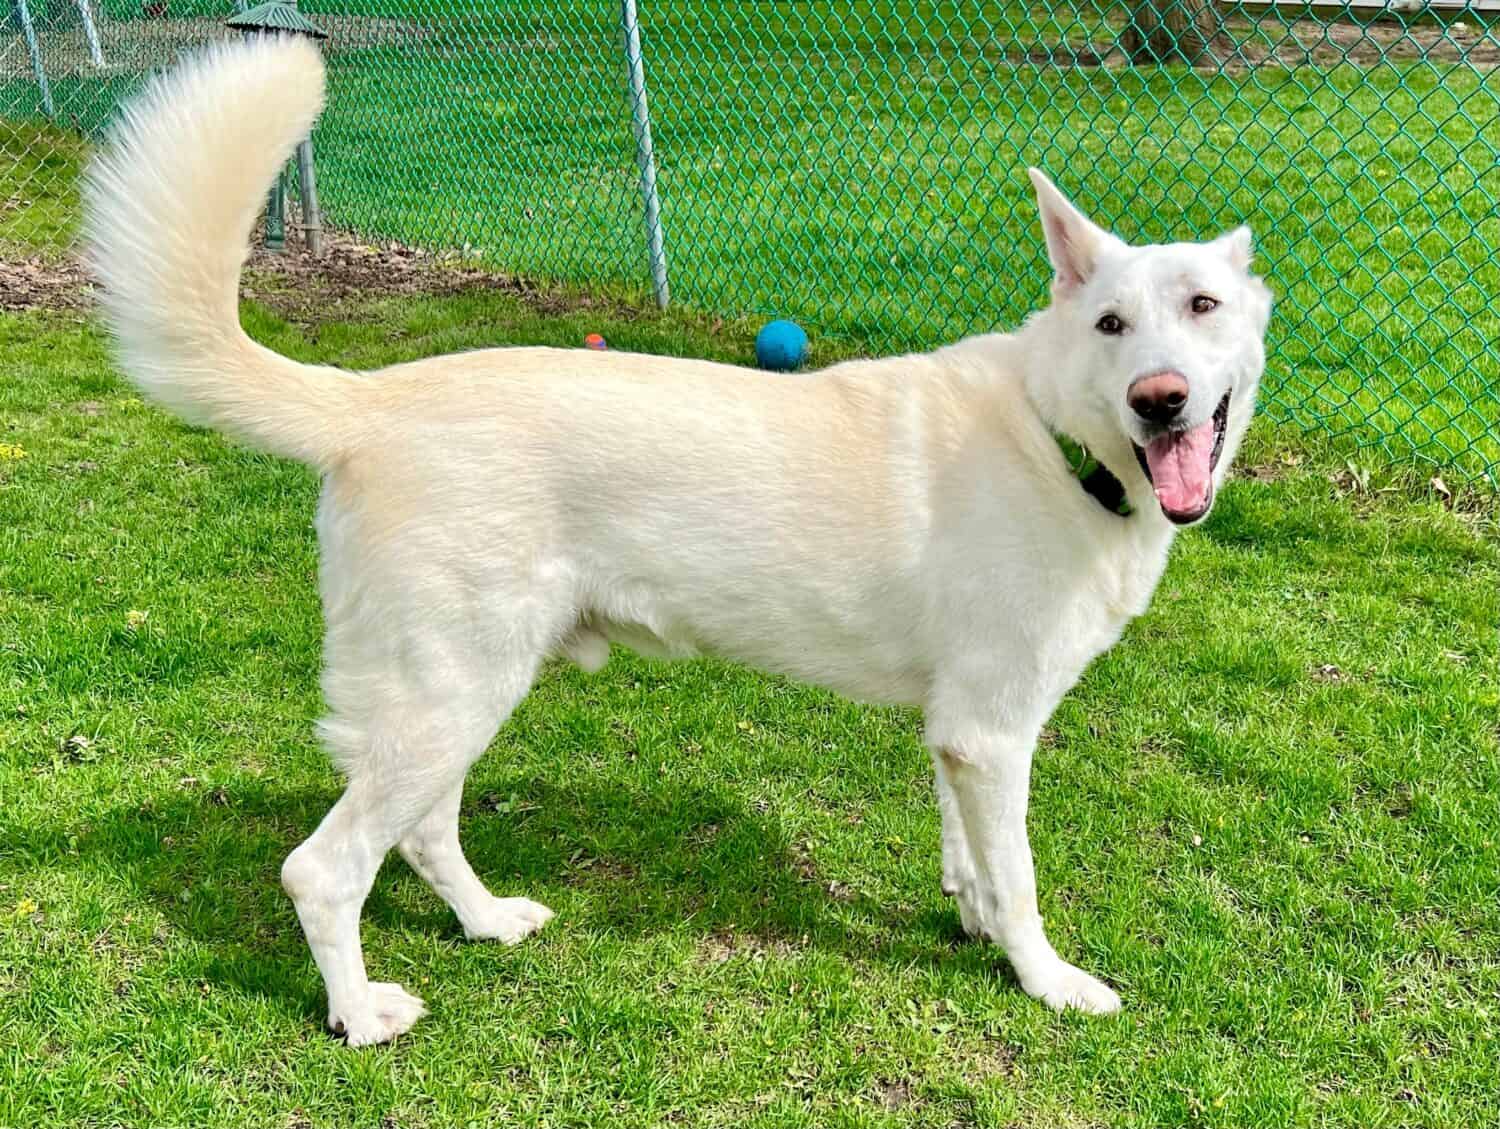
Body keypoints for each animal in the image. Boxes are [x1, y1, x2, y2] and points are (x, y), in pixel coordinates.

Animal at [87, 39, 1272, 1043]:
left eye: (1204, 307)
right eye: (1112, 325)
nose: (1163, 400)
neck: (1054, 433)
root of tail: (369, 399)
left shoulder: (961, 733)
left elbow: (971, 857)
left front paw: (972, 918)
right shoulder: (991, 731)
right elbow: (1019, 879)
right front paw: (1047, 980)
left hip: (457, 698)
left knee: (421, 832)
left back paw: (487, 922)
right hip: (449, 693)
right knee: (323, 868)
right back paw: (361, 1014)